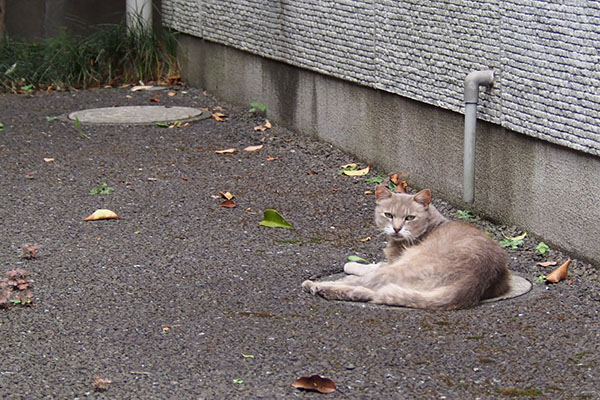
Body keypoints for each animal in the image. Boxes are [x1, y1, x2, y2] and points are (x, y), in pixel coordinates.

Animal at [302, 184, 508, 310]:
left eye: (410, 217)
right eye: (388, 215)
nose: (396, 228)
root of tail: (474, 280)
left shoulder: (391, 263)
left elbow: (367, 266)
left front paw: (350, 265)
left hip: (402, 268)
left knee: (357, 285)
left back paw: (316, 286)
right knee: (367, 292)